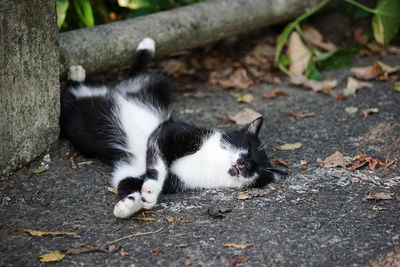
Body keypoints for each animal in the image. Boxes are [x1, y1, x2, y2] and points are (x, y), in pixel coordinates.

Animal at [60, 37, 284, 220]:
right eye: (249, 148)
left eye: (258, 171)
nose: (248, 164)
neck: (212, 162)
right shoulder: (170, 132)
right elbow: (157, 163)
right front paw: (150, 189)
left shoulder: (133, 170)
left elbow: (128, 183)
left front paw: (130, 205)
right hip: (158, 84)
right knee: (131, 78)